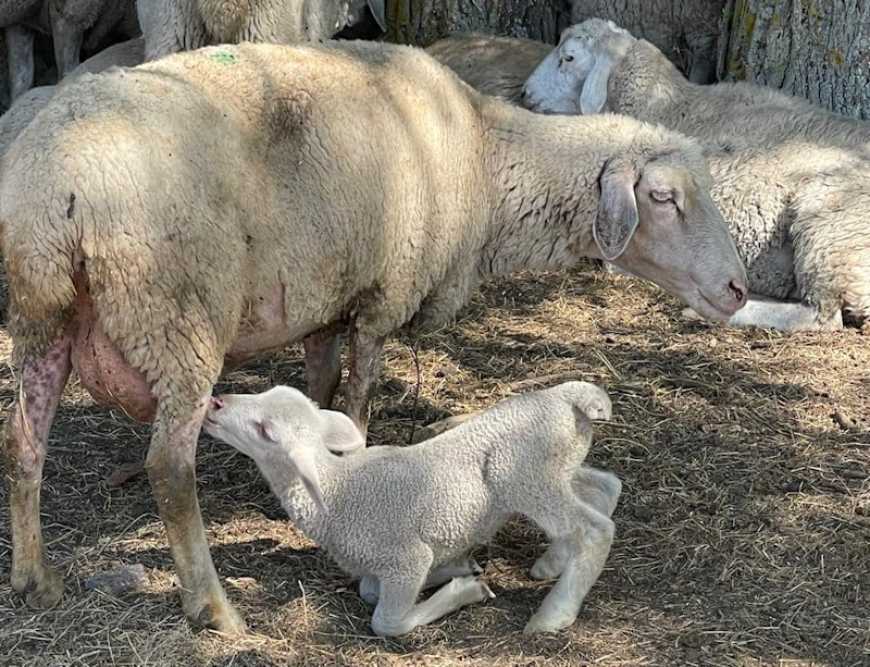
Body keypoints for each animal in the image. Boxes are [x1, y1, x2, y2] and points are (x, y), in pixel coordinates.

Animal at [203, 380, 628, 636]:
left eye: (266, 431)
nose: (216, 401)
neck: (339, 492)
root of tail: (569, 396)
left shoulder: (405, 558)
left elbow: (386, 620)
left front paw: (465, 590)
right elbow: (369, 590)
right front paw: (461, 567)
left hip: (520, 473)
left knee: (594, 528)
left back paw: (553, 614)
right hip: (556, 467)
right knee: (605, 488)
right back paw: (551, 563)